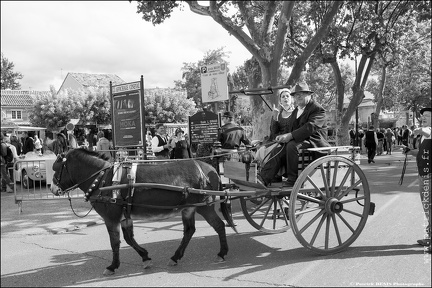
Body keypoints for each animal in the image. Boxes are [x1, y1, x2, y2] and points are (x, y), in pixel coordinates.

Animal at [49, 147, 230, 276]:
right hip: (188, 208)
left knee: (219, 225)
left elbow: (115, 242)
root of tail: (208, 168)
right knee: (189, 231)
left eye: (56, 169)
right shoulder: (124, 216)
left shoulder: (111, 218)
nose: (52, 189)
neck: (102, 180)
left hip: (204, 206)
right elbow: (129, 239)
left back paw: (222, 253)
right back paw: (175, 257)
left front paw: (112, 266)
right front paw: (145, 257)